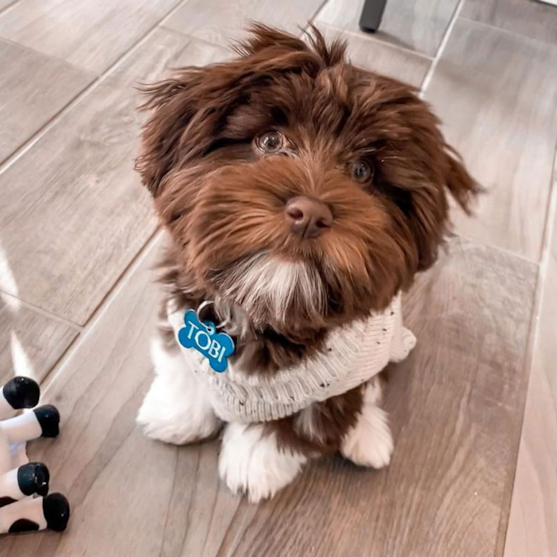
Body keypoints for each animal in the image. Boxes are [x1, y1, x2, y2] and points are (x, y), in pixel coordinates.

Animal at [135, 23, 478, 502]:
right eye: (270, 140)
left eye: (362, 172)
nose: (310, 213)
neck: (267, 303)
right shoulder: (182, 320)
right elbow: (180, 366)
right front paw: (177, 415)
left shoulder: (331, 390)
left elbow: (285, 428)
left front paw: (252, 465)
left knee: (373, 389)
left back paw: (368, 439)